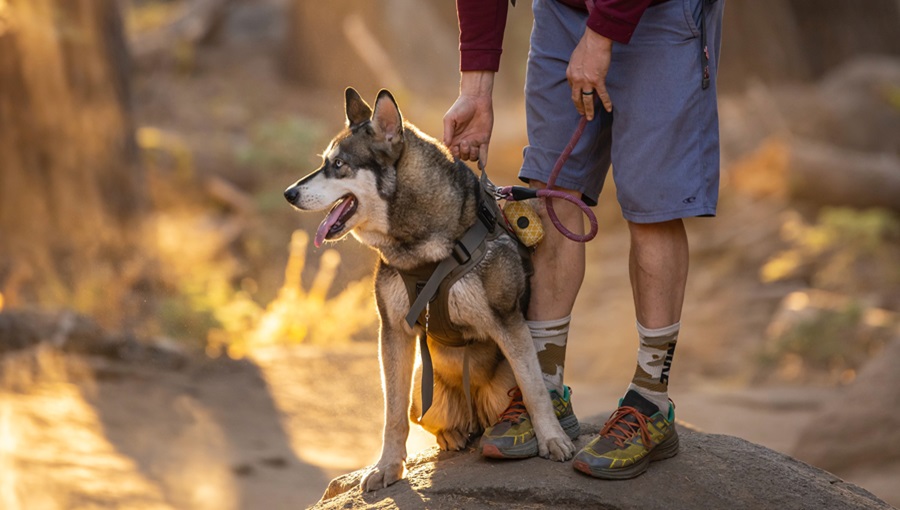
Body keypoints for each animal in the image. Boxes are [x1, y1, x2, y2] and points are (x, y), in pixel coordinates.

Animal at [284, 87, 576, 490]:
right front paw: (387, 466)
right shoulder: (393, 333)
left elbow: (534, 390)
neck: (423, 251)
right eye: (326, 162)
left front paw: (551, 439)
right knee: (428, 419)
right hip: (424, 391)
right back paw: (452, 435)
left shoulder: (508, 321)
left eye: (339, 165)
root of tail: (475, 415)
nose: (288, 193)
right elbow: (391, 413)